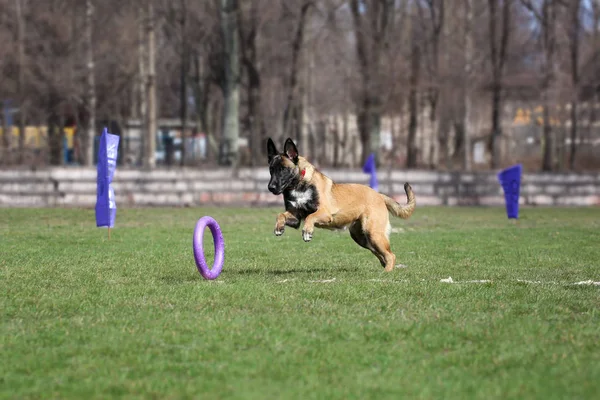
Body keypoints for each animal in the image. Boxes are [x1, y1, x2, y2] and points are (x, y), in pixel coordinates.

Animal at [268, 138, 418, 272]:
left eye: (283, 169)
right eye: (271, 169)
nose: (271, 187)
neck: (299, 183)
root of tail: (379, 195)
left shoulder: (324, 213)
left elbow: (310, 217)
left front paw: (307, 232)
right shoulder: (295, 217)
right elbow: (280, 215)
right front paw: (279, 227)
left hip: (373, 234)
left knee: (391, 255)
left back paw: (386, 273)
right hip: (363, 239)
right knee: (382, 255)